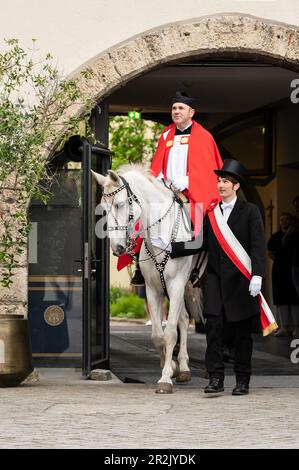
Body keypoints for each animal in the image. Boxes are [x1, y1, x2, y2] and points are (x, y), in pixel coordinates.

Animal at [91, 164, 205, 392]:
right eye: (104, 210)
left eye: (120, 204)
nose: (117, 248)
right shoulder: (153, 288)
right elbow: (157, 335)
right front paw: (169, 366)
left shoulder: (176, 284)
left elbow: (170, 333)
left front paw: (165, 379)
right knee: (182, 319)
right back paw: (181, 367)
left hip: (185, 285)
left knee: (183, 321)